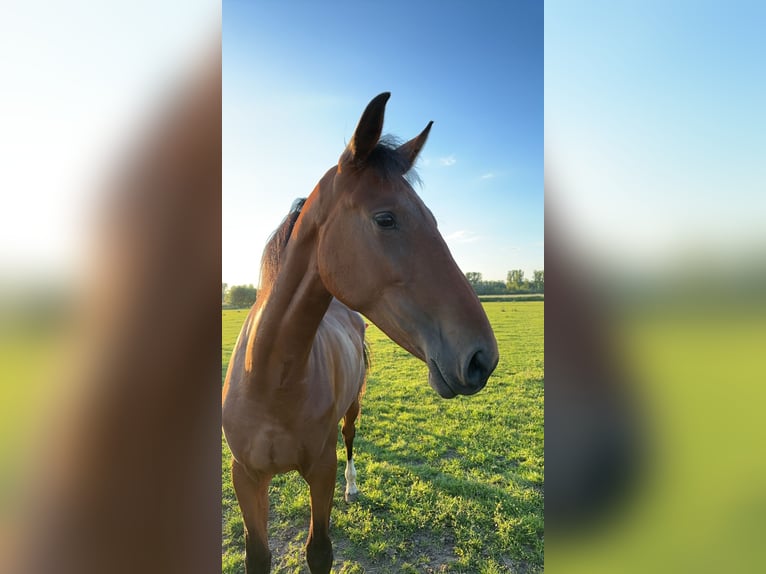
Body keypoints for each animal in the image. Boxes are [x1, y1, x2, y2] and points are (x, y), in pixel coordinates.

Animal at [222, 92, 500, 572]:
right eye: (385, 218)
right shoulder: (246, 477)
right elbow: (258, 554)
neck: (270, 379)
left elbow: (319, 550)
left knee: (351, 439)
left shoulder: (322, 470)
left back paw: (354, 487)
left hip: (353, 407)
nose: (482, 357)